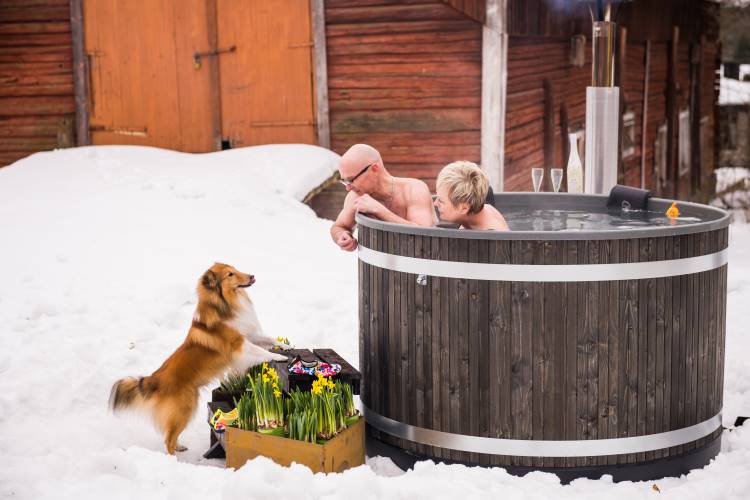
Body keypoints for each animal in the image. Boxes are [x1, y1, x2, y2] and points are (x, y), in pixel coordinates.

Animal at [108, 264, 288, 456]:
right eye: (230, 274)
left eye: (234, 269)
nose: (252, 276)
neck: (224, 305)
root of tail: (154, 380)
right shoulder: (239, 345)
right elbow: (261, 351)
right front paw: (279, 356)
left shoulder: (250, 335)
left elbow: (268, 339)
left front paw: (284, 346)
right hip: (184, 410)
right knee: (168, 439)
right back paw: (173, 458)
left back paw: (180, 446)